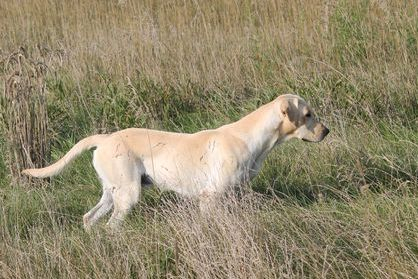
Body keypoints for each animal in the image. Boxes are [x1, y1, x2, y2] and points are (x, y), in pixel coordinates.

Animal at [22, 94, 330, 230]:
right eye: (308, 115)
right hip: (128, 194)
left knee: (89, 218)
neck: (251, 138)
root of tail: (105, 138)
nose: (326, 131)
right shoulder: (210, 197)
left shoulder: (235, 194)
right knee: (111, 226)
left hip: (112, 193)